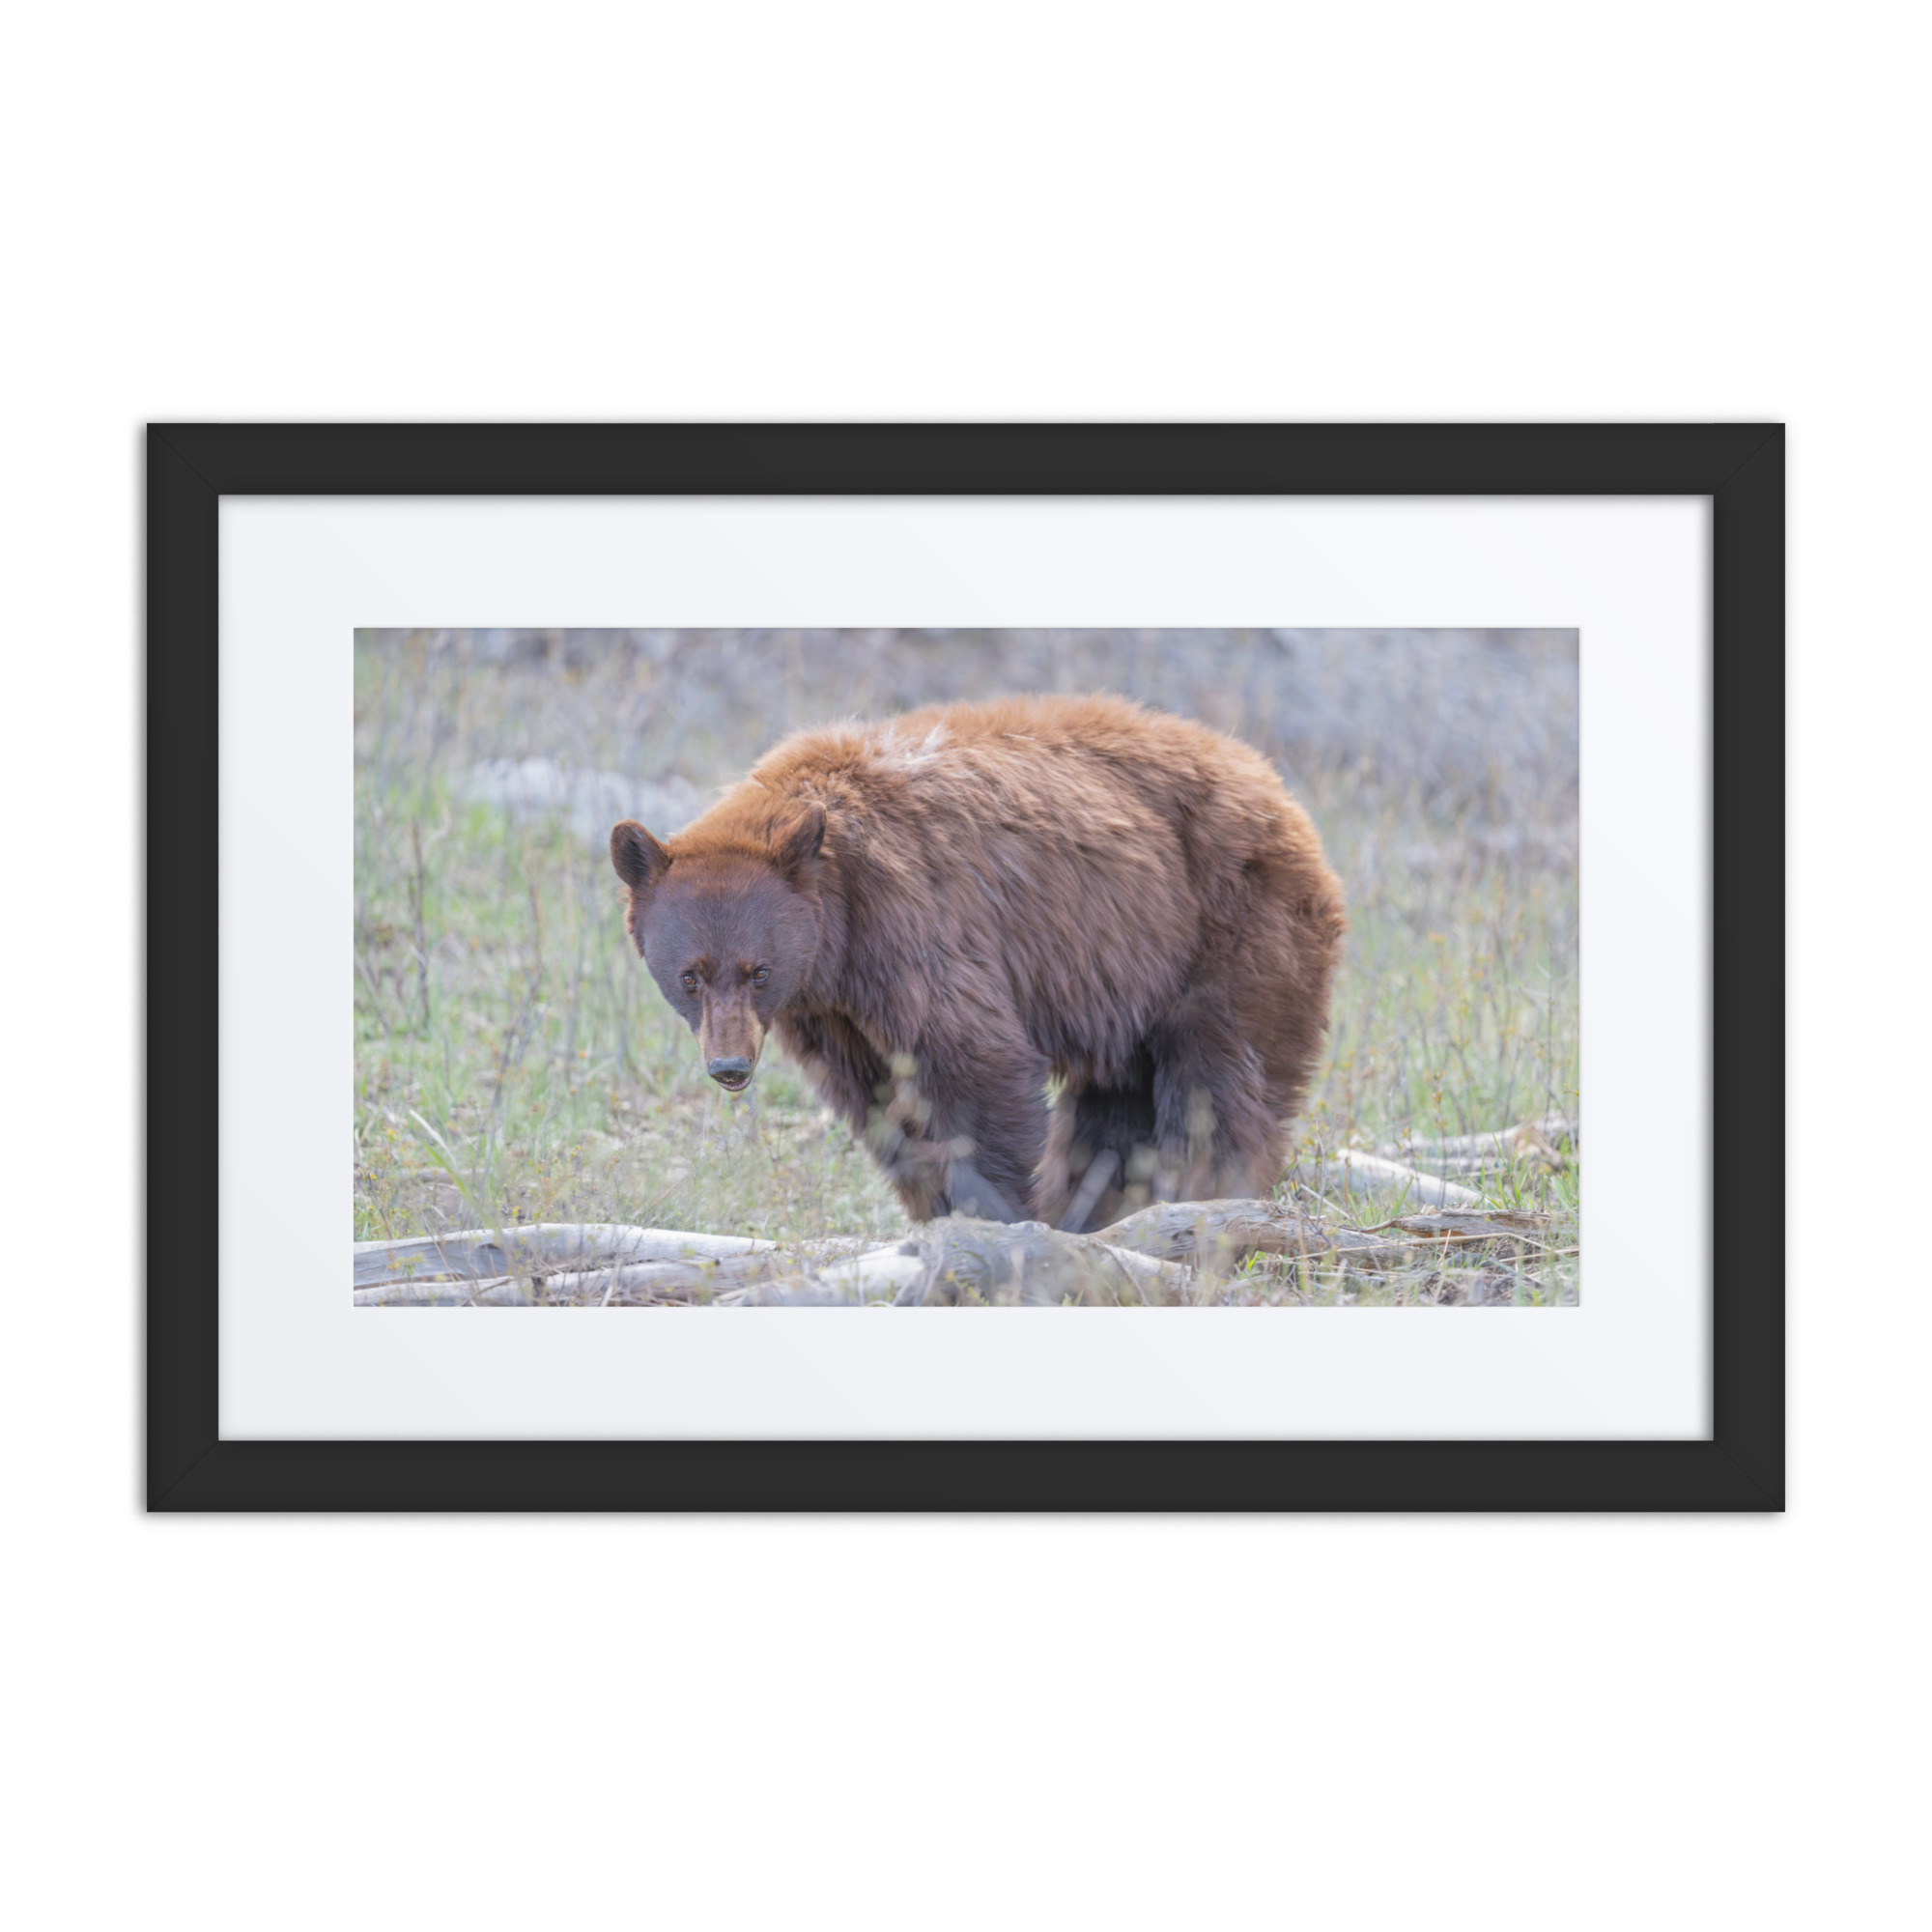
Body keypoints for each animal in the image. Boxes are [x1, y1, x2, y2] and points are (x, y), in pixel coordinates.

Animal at [609, 693, 1346, 1232]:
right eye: (690, 976)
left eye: (758, 971)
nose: (729, 1067)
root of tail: (1275, 785)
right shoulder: (832, 1012)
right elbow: (880, 1102)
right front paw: (936, 1211)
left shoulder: (915, 925)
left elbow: (974, 1066)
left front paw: (994, 1216)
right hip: (1130, 977)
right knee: (1115, 1105)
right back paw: (1099, 1208)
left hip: (1228, 928)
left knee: (1219, 1082)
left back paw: (1202, 1195)